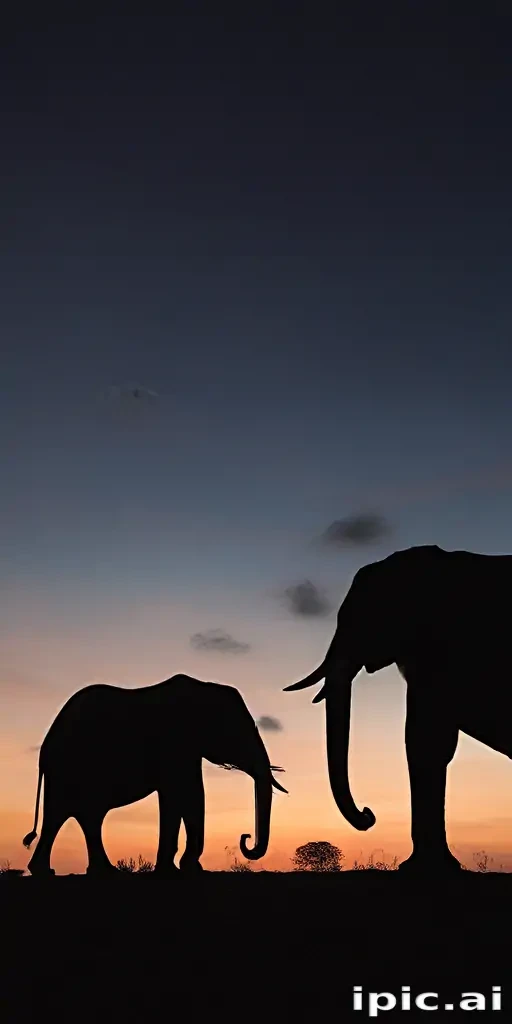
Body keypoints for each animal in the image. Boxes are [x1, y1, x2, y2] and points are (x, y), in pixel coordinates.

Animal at [23, 673, 287, 877]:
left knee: (80, 815)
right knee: (66, 813)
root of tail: (44, 748)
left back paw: (94, 872)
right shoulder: (174, 744)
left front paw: (180, 869)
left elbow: (187, 796)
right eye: (237, 733)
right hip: (68, 768)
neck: (204, 688)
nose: (245, 836)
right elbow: (185, 795)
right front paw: (182, 870)